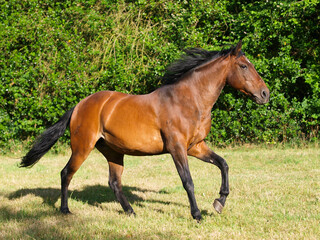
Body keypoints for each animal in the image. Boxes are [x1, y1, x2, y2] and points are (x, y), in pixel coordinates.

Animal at [20, 39, 270, 221]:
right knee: (66, 173)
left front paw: (219, 202)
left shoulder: (196, 147)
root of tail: (80, 105)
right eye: (244, 66)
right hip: (82, 147)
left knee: (114, 182)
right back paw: (65, 210)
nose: (265, 94)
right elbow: (188, 181)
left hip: (113, 152)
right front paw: (197, 215)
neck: (189, 100)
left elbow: (223, 164)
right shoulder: (177, 148)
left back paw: (131, 211)